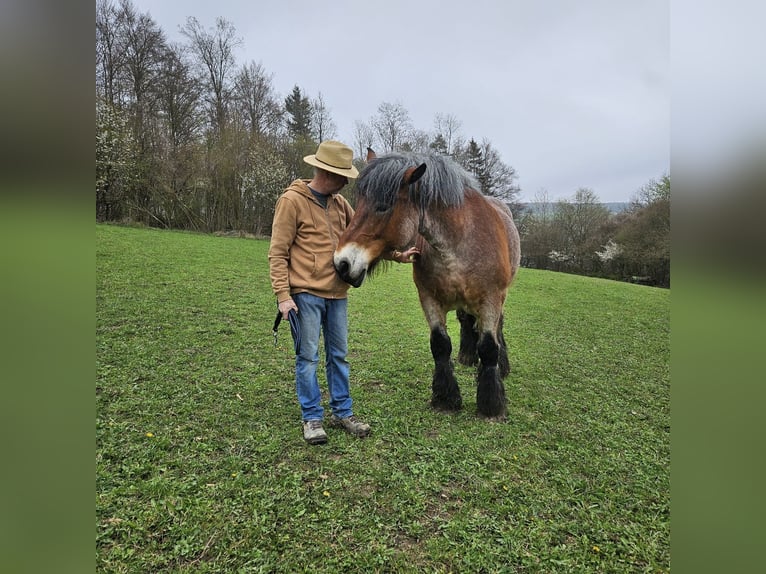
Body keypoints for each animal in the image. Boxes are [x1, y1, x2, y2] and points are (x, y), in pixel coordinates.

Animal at [333, 149, 521, 418]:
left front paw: (491, 404)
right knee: (466, 321)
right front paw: (446, 398)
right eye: (358, 205)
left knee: (497, 330)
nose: (342, 263)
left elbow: (488, 346)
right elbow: (440, 345)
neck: (460, 241)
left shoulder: (491, 299)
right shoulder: (429, 298)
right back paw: (467, 356)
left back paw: (501, 366)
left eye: (383, 207)